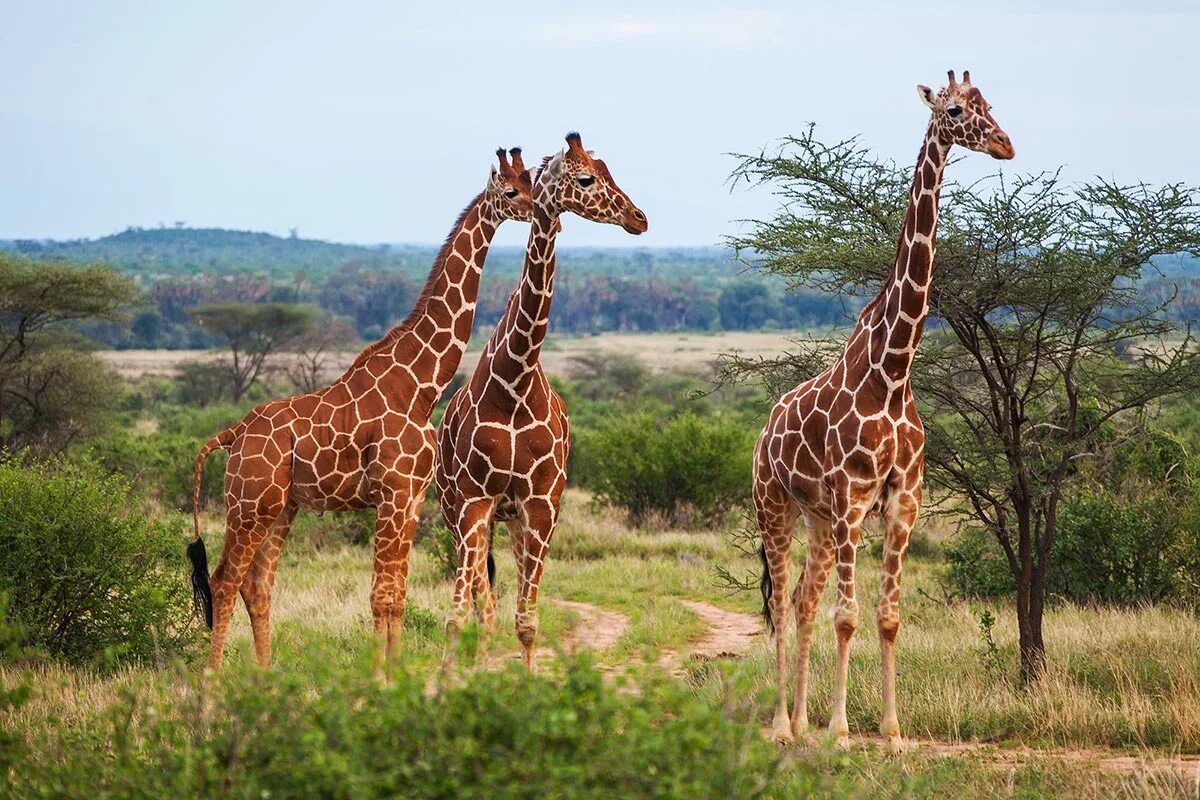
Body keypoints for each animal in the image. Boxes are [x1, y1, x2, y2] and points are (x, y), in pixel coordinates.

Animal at [188, 146, 535, 671]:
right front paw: (378, 677)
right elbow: (380, 595)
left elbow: (398, 594)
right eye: (512, 191)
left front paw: (394, 672)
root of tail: (232, 434)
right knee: (225, 579)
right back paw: (213, 683)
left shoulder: (412, 498)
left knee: (258, 582)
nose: (539, 211)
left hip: (281, 507)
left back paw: (265, 677)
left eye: (533, 181)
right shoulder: (390, 493)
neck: (421, 387)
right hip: (248, 503)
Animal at [436, 133, 648, 671]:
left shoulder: (542, 503)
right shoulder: (474, 500)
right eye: (586, 178)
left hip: (517, 519)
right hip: (459, 511)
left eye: (607, 168)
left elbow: (527, 621)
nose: (639, 218)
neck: (515, 381)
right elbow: (459, 617)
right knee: (481, 604)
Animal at [753, 70, 1008, 753]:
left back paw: (800, 722)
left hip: (818, 521)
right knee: (783, 604)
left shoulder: (901, 500)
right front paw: (842, 732)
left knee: (803, 603)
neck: (893, 372)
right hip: (776, 507)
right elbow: (848, 617)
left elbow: (887, 617)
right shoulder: (852, 496)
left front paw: (892, 734)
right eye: (954, 111)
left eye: (989, 104)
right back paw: (782, 726)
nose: (1005, 145)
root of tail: (763, 431)